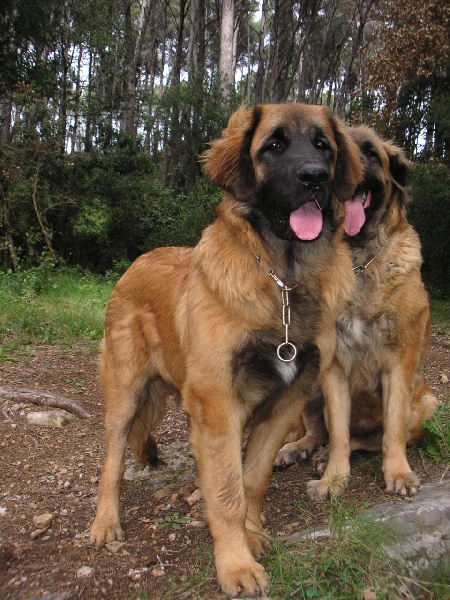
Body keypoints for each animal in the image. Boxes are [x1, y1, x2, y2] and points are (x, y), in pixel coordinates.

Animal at [89, 104, 362, 596]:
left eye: (323, 146)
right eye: (274, 145)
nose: (314, 177)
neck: (283, 279)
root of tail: (138, 260)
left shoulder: (284, 405)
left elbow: (253, 479)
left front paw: (251, 536)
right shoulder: (219, 408)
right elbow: (228, 492)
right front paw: (235, 565)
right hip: (124, 393)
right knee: (112, 460)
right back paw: (105, 522)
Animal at [276, 124, 438, 500]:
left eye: (370, 151)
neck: (358, 259)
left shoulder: (398, 362)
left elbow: (391, 429)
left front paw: (398, 473)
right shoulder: (333, 366)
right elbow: (337, 432)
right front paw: (333, 478)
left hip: (427, 402)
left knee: (371, 438)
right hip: (311, 384)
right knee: (319, 432)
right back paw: (298, 449)